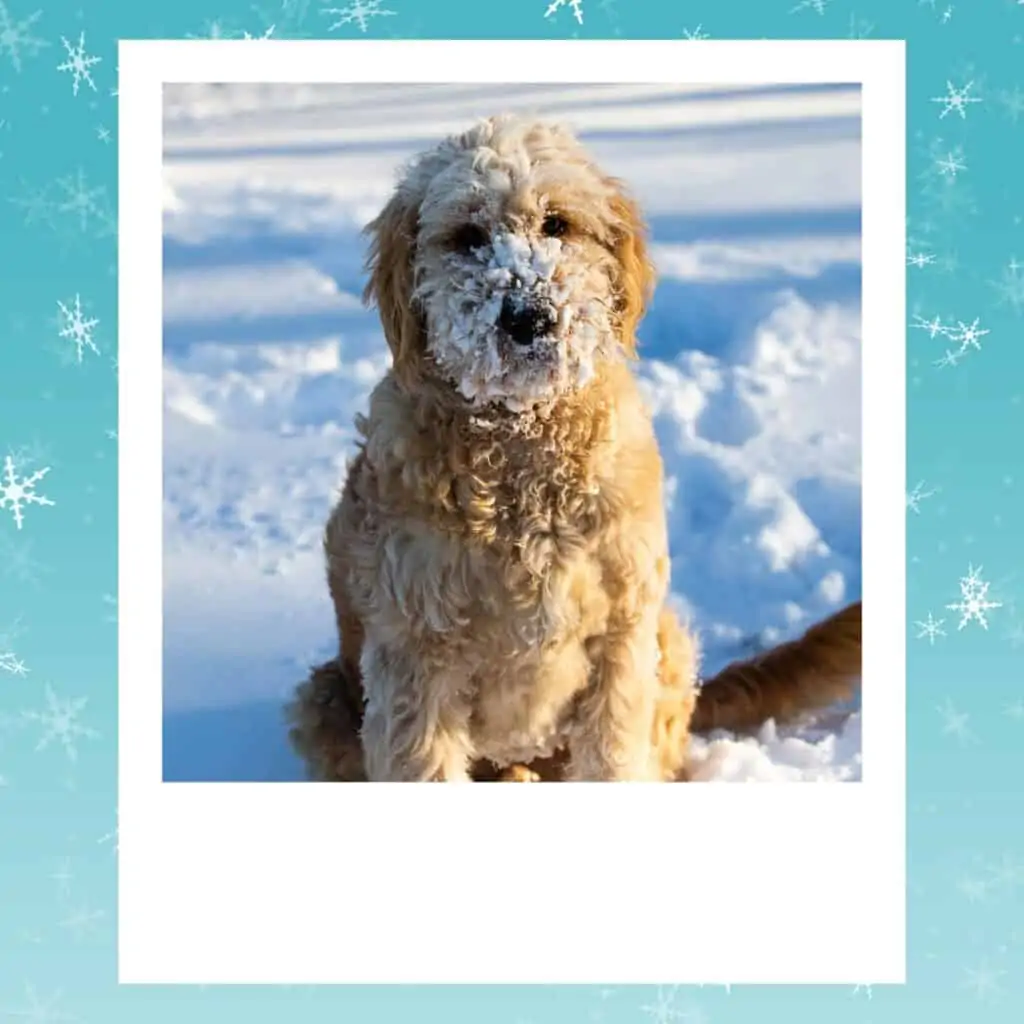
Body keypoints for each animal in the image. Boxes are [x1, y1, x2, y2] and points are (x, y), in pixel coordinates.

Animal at [284, 114, 860, 782]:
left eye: (557, 223)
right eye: (468, 235)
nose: (527, 316)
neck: (521, 446)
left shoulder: (622, 637)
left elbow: (612, 756)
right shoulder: (416, 654)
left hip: (667, 641)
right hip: (322, 699)